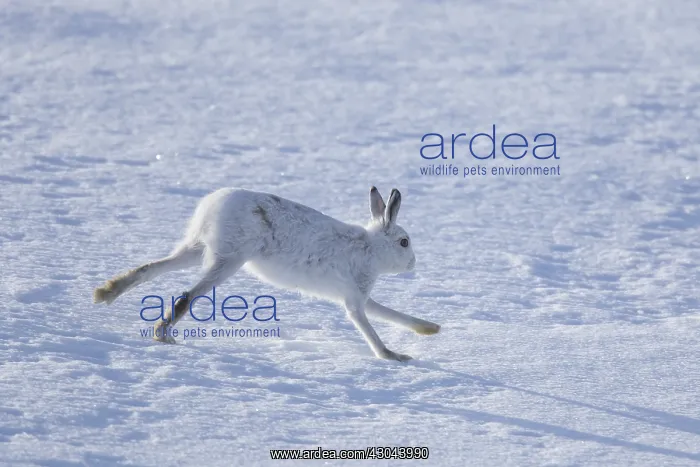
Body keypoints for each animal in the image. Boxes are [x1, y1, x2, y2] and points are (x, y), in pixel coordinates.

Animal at [93, 186, 441, 361]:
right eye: (404, 242)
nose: (413, 263)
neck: (370, 247)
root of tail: (212, 206)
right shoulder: (354, 299)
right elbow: (368, 326)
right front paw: (393, 356)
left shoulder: (362, 296)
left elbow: (390, 313)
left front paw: (430, 329)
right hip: (231, 259)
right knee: (186, 297)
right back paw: (162, 335)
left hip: (197, 250)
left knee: (150, 269)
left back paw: (106, 293)